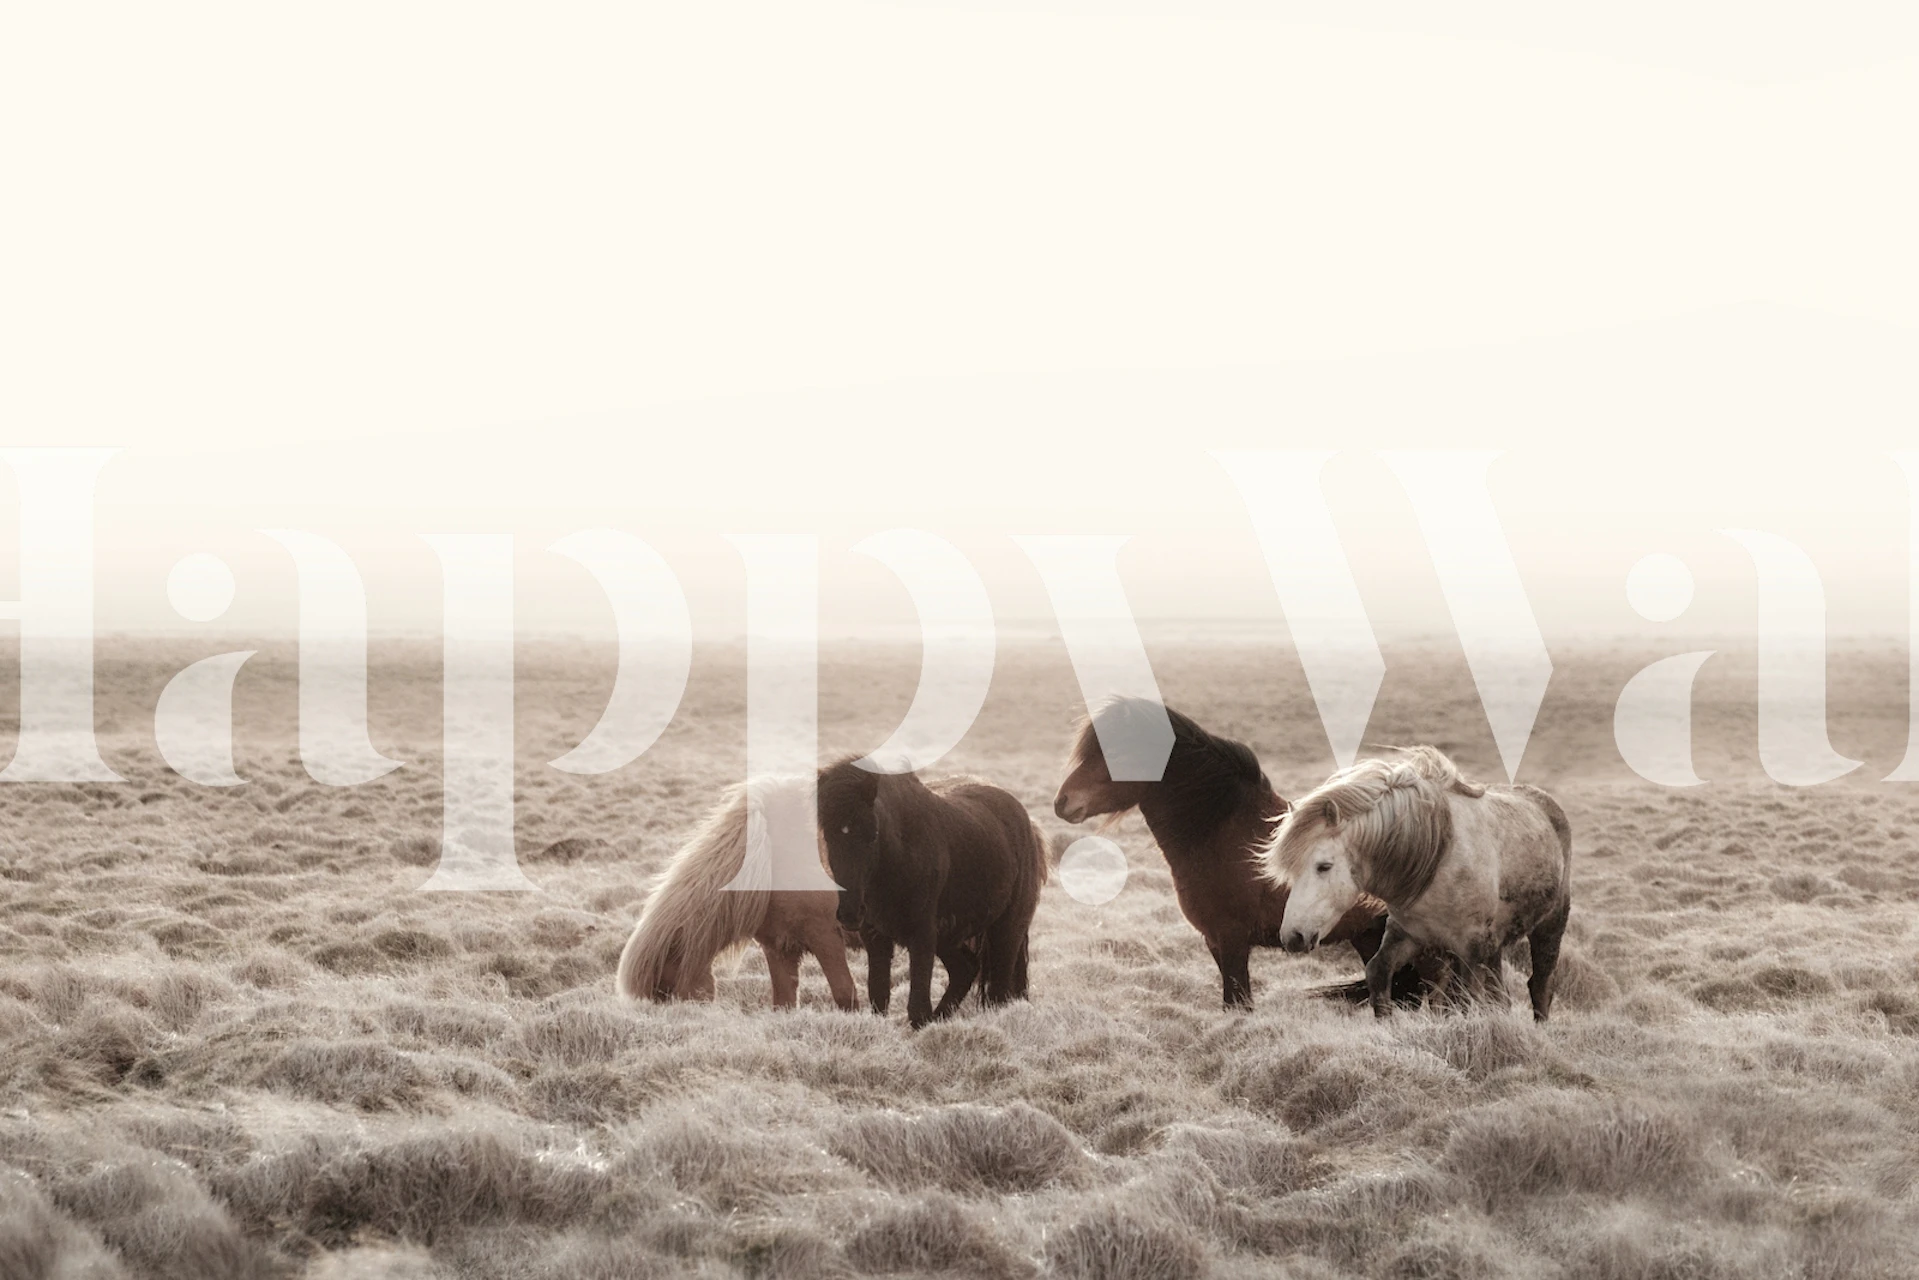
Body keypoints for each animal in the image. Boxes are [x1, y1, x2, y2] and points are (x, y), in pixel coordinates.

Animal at [615, 776, 860, 1010]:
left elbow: (845, 994)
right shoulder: (779, 947)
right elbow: (784, 1002)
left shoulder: (825, 936)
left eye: (666, 993)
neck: (770, 857)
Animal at [817, 759, 1048, 1030]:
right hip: (950, 935)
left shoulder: (922, 935)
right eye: (828, 835)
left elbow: (917, 1008)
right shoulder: (876, 938)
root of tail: (1029, 825)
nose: (851, 913)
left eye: (872, 834)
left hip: (1007, 930)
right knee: (965, 969)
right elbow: (879, 996)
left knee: (999, 989)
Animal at [1053, 696, 1422, 1010]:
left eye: (1114, 753)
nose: (1062, 802)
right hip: (1368, 938)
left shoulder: (1232, 939)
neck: (1221, 831)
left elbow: (1239, 1002)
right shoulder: (1215, 940)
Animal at [1267, 746, 1573, 1021]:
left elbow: (1467, 1001)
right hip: (1492, 946)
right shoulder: (1409, 935)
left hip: (1550, 925)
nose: (1292, 937)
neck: (1438, 858)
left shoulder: (1471, 949)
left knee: (1540, 984)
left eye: (1324, 866)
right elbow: (1379, 973)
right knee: (1500, 995)